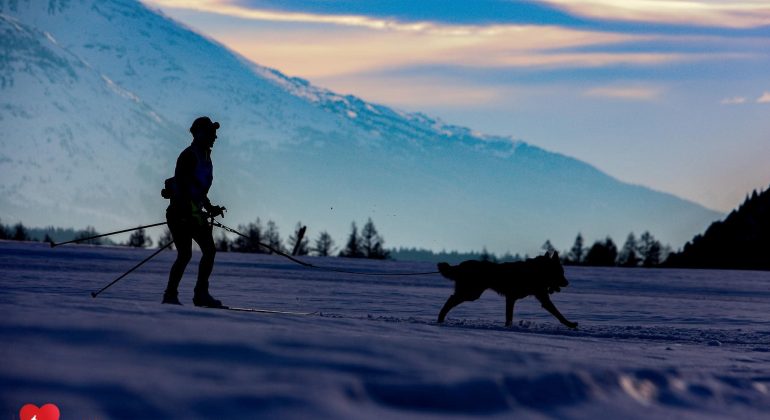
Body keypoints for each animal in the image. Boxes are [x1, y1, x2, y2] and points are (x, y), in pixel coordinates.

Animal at [438, 251, 576, 330]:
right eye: (560, 272)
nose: (567, 283)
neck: (535, 272)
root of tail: (461, 265)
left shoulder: (516, 299)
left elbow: (509, 317)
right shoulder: (513, 298)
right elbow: (558, 313)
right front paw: (570, 324)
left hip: (470, 293)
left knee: (451, 299)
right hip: (471, 294)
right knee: (450, 300)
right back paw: (440, 319)